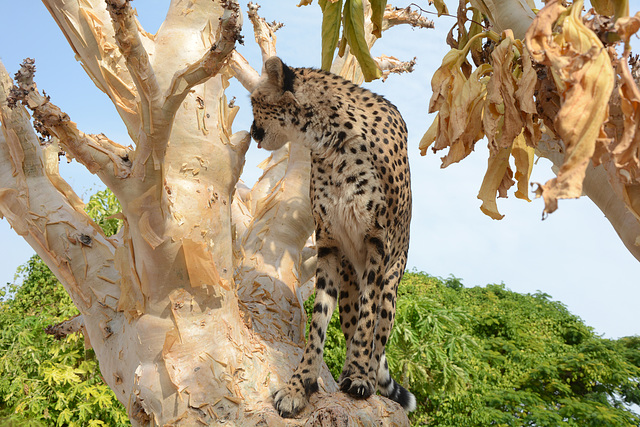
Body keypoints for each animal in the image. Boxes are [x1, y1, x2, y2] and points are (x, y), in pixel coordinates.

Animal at [250, 56, 416, 418]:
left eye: (255, 101)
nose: (253, 132)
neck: (333, 140)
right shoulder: (329, 244)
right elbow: (318, 323)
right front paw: (299, 385)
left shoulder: (376, 243)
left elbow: (368, 320)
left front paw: (359, 376)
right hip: (349, 286)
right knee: (352, 318)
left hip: (391, 285)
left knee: (378, 329)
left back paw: (364, 375)